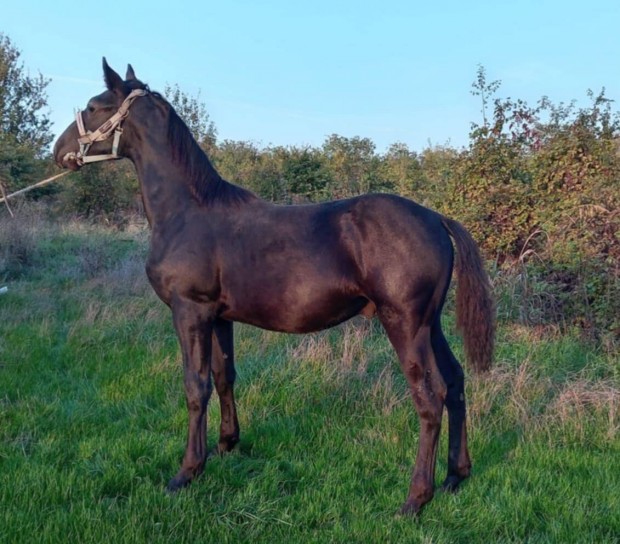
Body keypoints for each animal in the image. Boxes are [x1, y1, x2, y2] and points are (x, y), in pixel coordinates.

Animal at [55, 59, 496, 516]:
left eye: (94, 106)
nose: (57, 151)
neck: (187, 212)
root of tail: (435, 218)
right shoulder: (218, 317)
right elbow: (224, 376)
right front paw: (226, 445)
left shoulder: (190, 311)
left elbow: (196, 386)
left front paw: (187, 471)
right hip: (430, 325)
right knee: (456, 383)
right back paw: (454, 477)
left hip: (404, 325)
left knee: (430, 397)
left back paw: (415, 498)